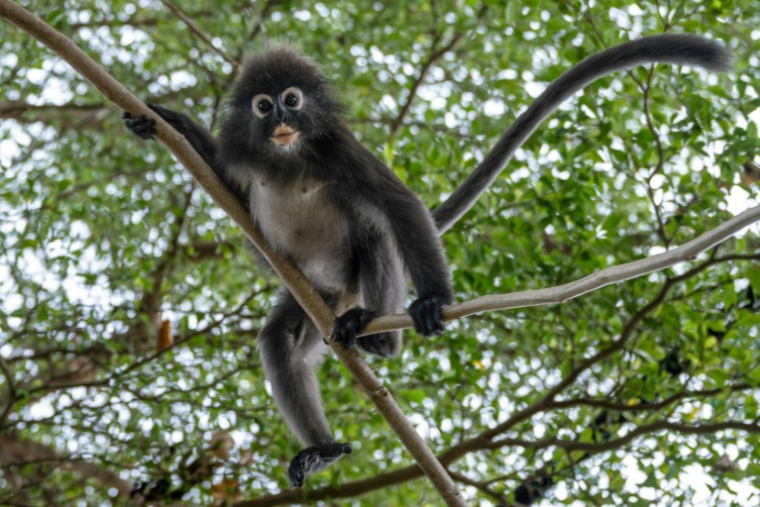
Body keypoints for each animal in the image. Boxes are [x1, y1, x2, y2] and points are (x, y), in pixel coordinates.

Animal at [123, 34, 731, 486]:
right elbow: (225, 184)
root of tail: (336, 300)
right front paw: (162, 119)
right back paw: (321, 448)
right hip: (312, 297)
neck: (287, 158)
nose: (279, 120)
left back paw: (382, 340)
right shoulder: (244, 158)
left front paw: (435, 300)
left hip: (352, 284)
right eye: (262, 104)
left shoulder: (338, 149)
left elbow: (398, 205)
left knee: (376, 233)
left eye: (291, 99)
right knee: (281, 343)